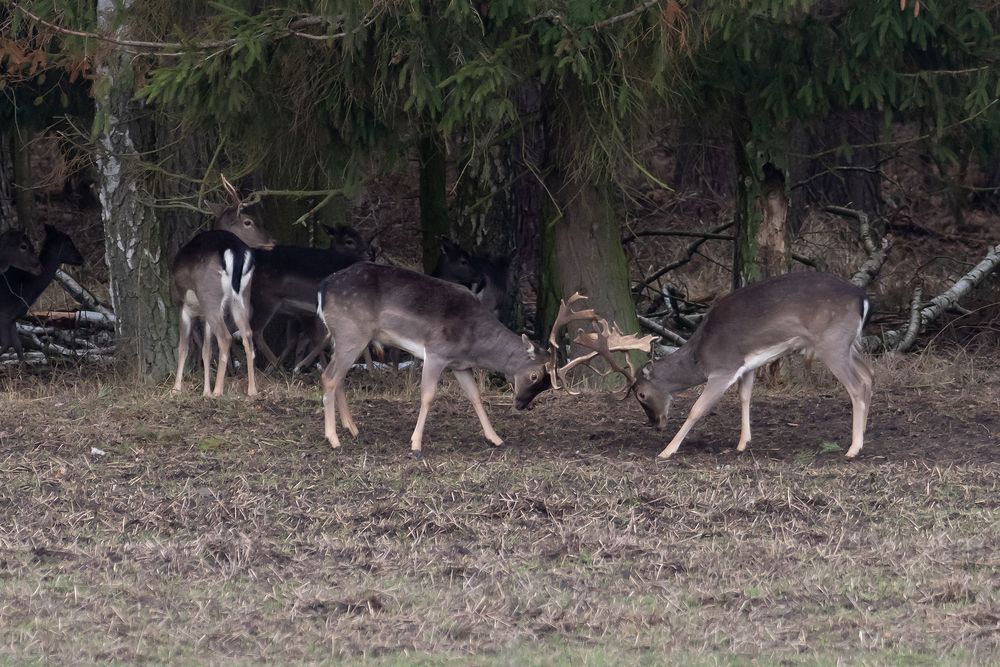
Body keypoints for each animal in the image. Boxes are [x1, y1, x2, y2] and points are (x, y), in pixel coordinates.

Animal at [0, 224, 84, 360]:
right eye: (68, 243)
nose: (81, 259)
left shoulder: (12, 318)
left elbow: (18, 348)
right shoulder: (4, 315)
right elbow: (7, 345)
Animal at [170, 175, 276, 400]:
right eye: (248, 221)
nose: (271, 241)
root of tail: (235, 249)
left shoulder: (183, 304)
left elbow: (184, 347)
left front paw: (176, 389)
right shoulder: (207, 312)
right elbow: (206, 350)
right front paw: (205, 390)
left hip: (210, 294)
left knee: (226, 337)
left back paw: (219, 391)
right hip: (241, 296)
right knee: (247, 335)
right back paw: (252, 390)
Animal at [632, 272, 876, 460]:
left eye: (641, 394)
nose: (656, 424)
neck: (699, 356)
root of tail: (863, 299)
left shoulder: (723, 367)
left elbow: (697, 409)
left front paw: (667, 451)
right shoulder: (747, 366)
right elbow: (745, 397)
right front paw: (743, 443)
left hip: (832, 343)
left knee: (856, 386)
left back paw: (853, 448)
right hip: (848, 344)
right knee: (868, 375)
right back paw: (862, 433)